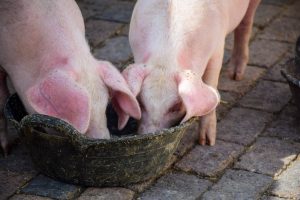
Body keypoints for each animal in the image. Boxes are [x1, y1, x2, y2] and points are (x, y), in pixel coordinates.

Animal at [118, 0, 262, 145]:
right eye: (140, 103)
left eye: (175, 107)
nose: (150, 136)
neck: (165, 56)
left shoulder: (217, 47)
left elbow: (212, 82)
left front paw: (207, 142)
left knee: (246, 22)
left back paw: (235, 76)